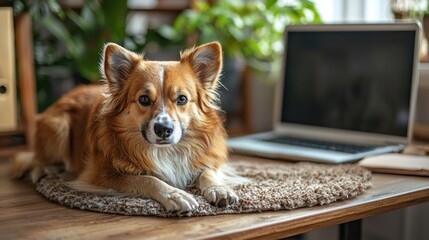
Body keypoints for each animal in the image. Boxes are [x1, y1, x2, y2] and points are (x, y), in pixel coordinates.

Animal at [12, 41, 241, 214]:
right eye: (144, 99)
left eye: (182, 99)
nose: (164, 129)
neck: (165, 151)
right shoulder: (101, 175)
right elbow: (148, 179)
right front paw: (174, 194)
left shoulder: (207, 160)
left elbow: (208, 171)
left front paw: (219, 188)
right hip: (59, 127)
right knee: (36, 160)